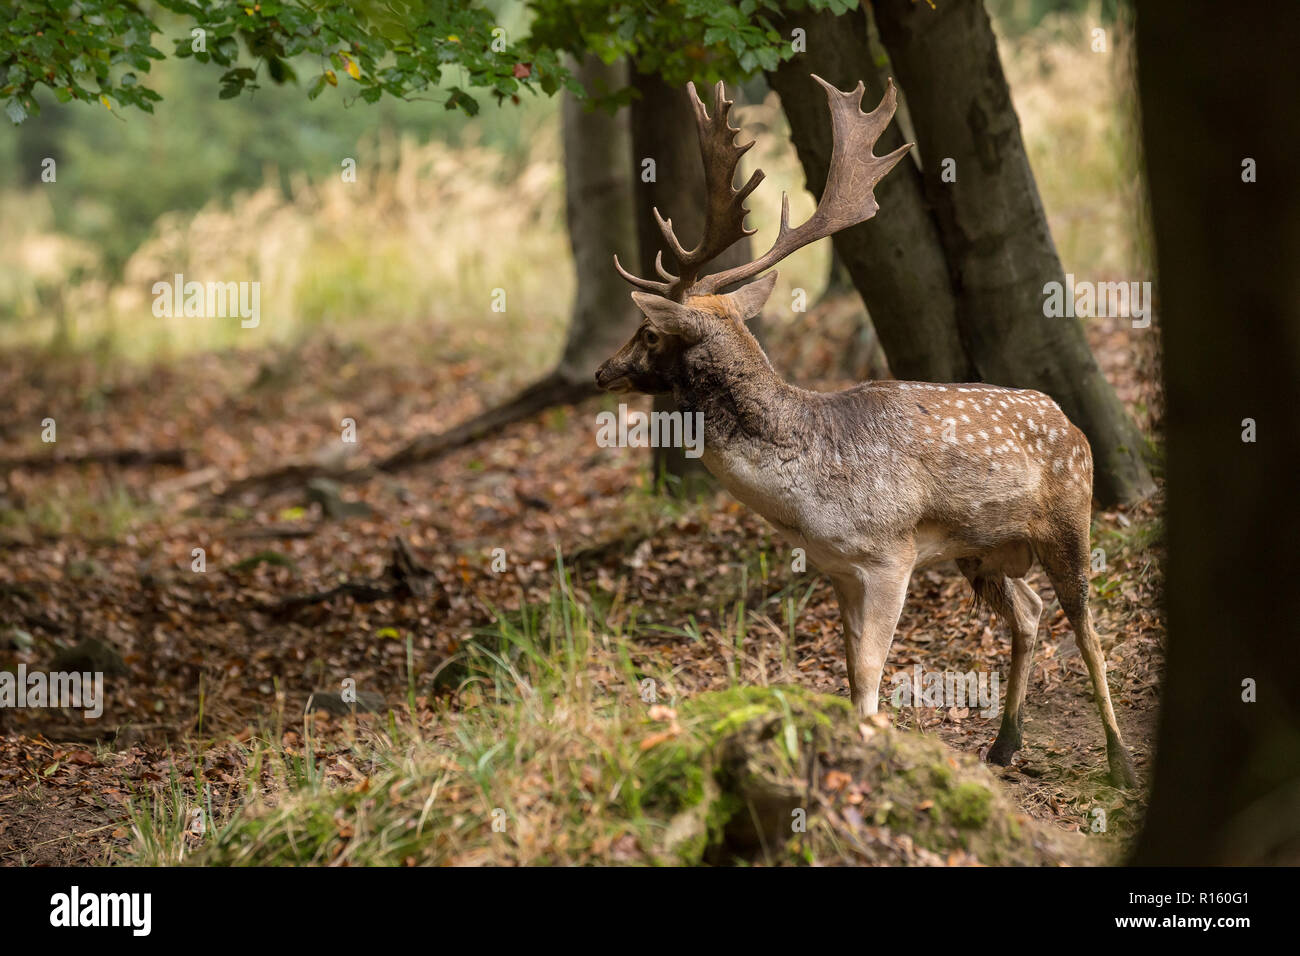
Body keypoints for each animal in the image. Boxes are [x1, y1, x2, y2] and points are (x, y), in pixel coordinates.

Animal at [595, 74, 1138, 790]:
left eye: (649, 331)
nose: (602, 370)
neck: (807, 495)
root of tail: (1072, 425)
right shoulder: (837, 570)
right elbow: (852, 676)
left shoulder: (889, 557)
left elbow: (874, 679)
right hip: (985, 550)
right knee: (1029, 610)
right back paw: (1003, 746)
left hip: (1069, 518)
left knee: (1087, 626)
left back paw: (1120, 761)